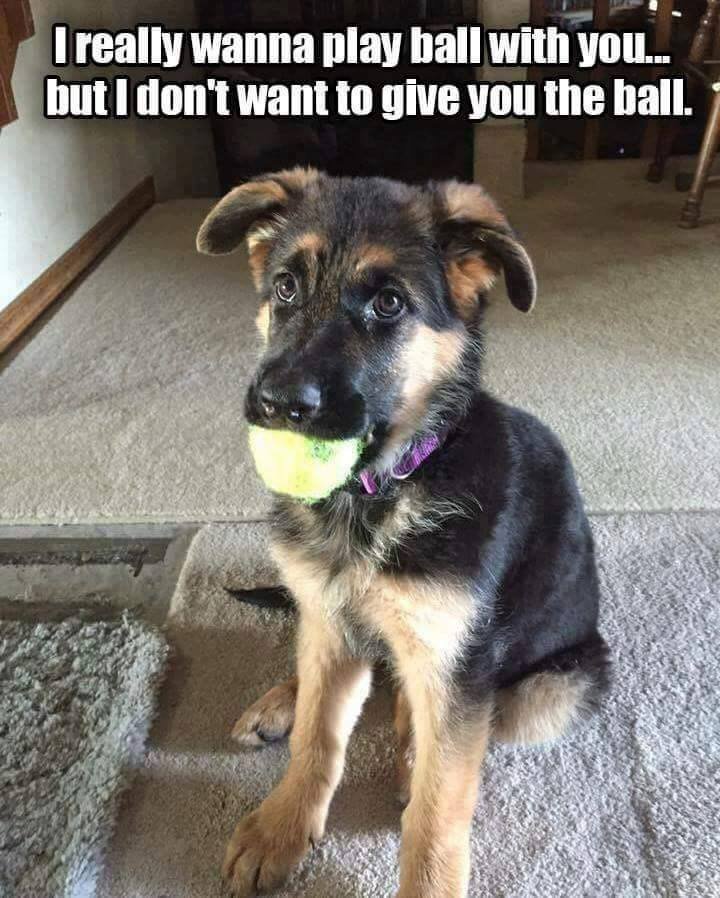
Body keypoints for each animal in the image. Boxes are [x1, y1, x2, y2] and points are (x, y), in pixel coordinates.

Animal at [195, 170, 608, 896]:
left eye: (389, 303)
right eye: (285, 287)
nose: (275, 404)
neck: (382, 490)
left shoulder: (456, 661)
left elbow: (439, 810)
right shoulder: (331, 616)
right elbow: (317, 739)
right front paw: (282, 826)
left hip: (551, 690)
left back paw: (410, 745)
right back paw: (283, 704)